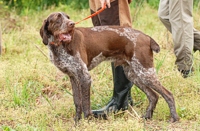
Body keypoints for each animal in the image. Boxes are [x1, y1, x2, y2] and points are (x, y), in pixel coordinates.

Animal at [39, 11, 180, 122]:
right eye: (58, 19)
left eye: (68, 17)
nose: (72, 24)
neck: (59, 47)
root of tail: (146, 36)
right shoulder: (73, 77)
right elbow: (77, 102)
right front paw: (77, 121)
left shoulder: (85, 77)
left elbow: (85, 104)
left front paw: (88, 121)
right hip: (133, 74)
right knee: (153, 96)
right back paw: (147, 117)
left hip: (145, 72)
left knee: (168, 94)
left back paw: (174, 118)